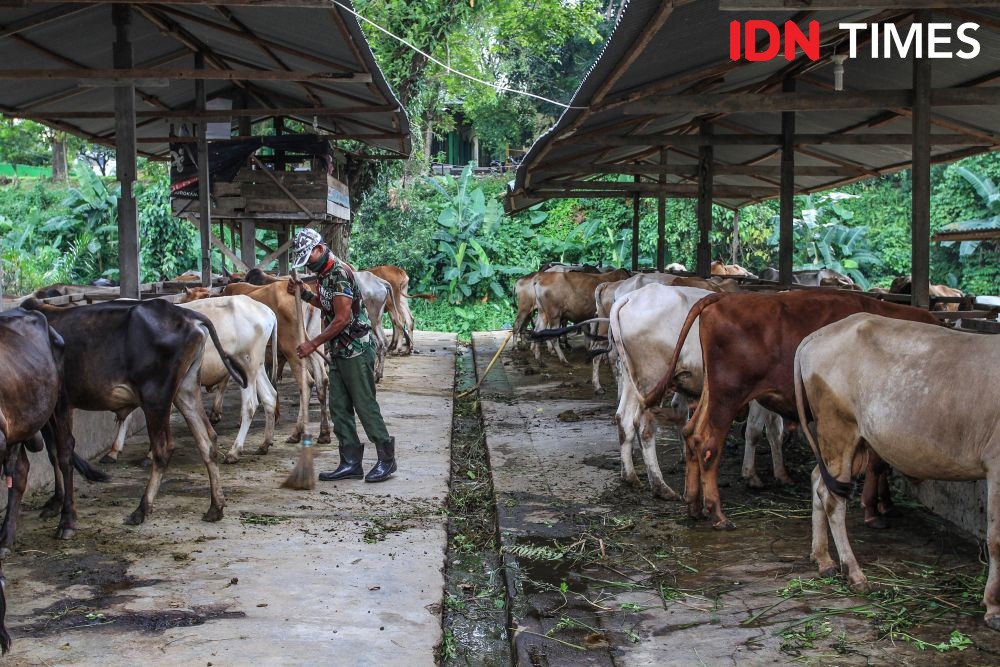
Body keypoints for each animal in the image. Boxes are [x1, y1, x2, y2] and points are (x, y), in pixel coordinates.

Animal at [23, 300, 246, 528]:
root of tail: (189, 316)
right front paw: (55, 502)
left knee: (163, 449)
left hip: (155, 397)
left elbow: (62, 453)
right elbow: (52, 453)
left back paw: (142, 509)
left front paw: (63, 514)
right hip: (186, 388)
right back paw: (215, 506)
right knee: (207, 441)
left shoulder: (62, 403)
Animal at [106, 298, 280, 464]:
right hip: (257, 366)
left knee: (250, 405)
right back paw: (264, 444)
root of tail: (268, 311)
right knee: (269, 396)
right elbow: (128, 415)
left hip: (246, 366)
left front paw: (149, 454)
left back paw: (234, 452)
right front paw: (114, 451)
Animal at [644, 290, 940, 528]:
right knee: (707, 444)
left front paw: (884, 503)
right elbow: (878, 464)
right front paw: (874, 510)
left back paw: (694, 505)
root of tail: (725, 297)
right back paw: (717, 513)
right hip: (728, 396)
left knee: (691, 433)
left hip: (713, 393)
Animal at [796, 314, 1000, 632]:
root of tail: (818, 334)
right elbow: (996, 538)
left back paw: (823, 560)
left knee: (818, 480)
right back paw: (854, 573)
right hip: (838, 427)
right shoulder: (996, 464)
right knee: (833, 500)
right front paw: (993, 607)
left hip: (850, 443)